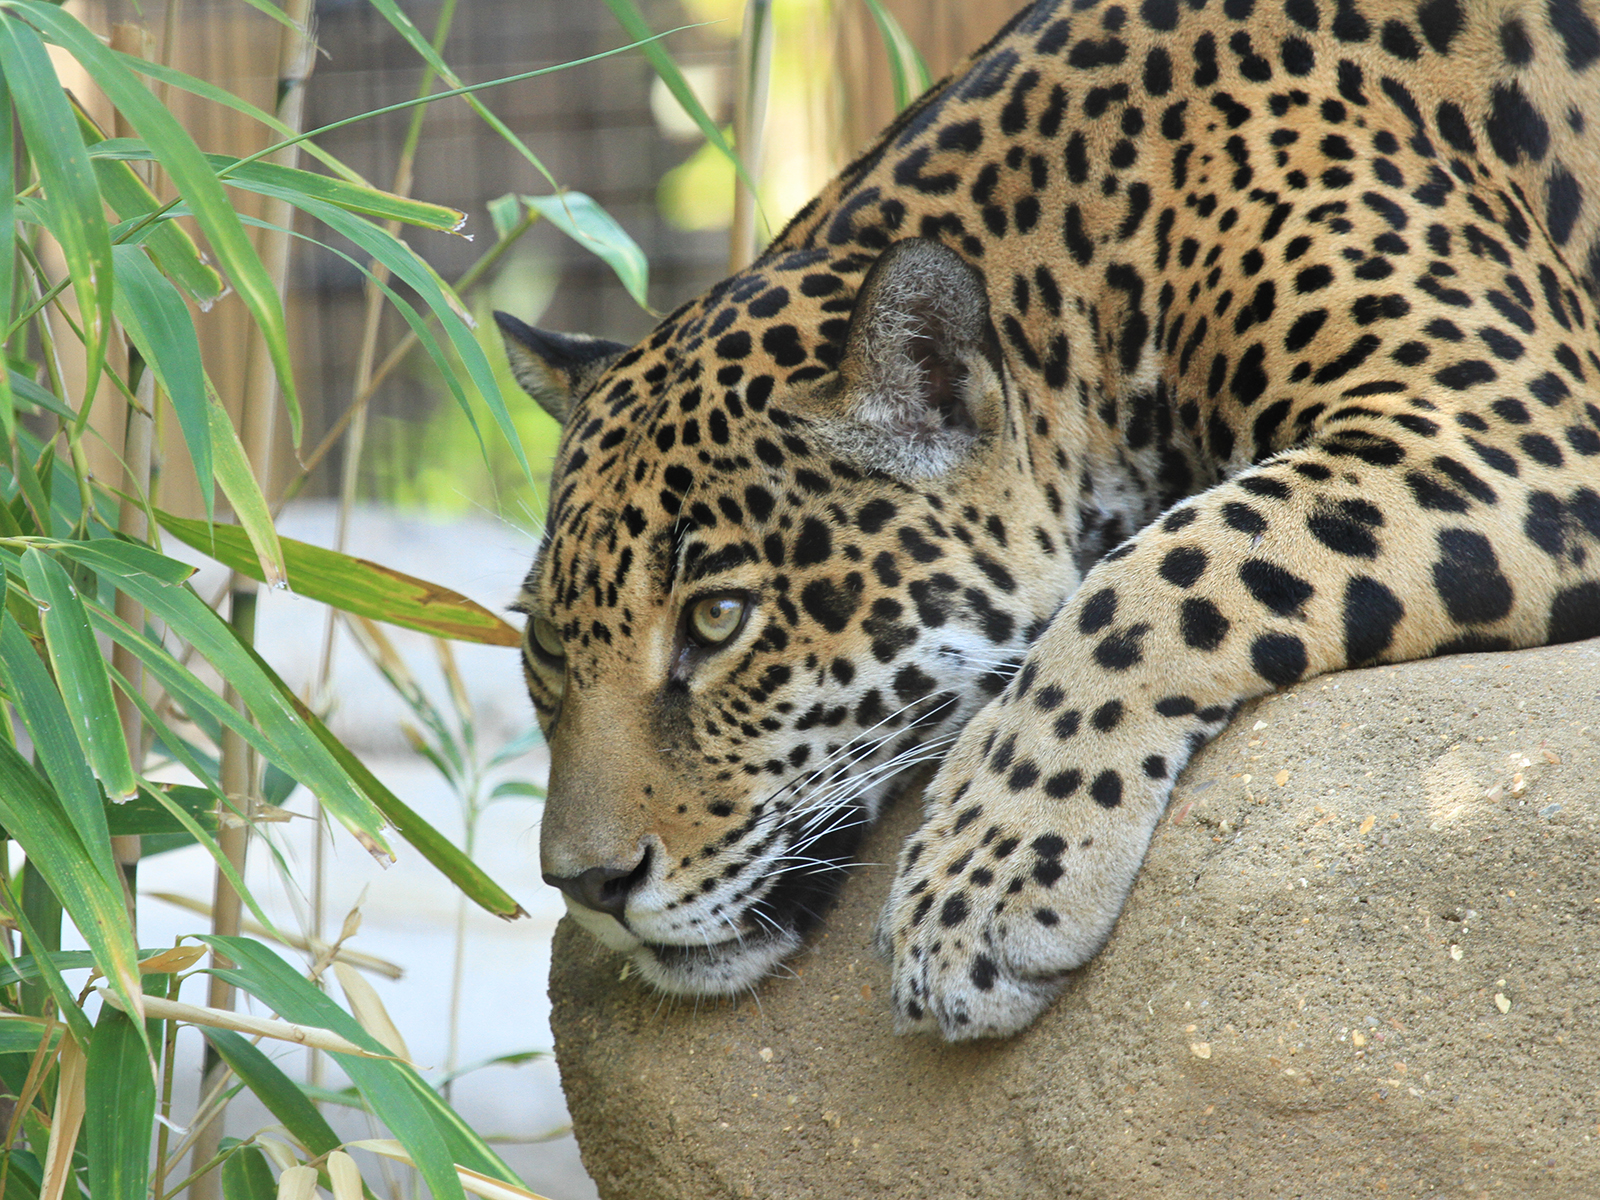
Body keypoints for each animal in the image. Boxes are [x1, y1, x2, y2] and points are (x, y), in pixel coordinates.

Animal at [495, 0, 1600, 1040]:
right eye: (546, 645)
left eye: (718, 620)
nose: (586, 886)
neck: (1101, 256)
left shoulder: (1500, 418)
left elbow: (1163, 576)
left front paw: (981, 883)